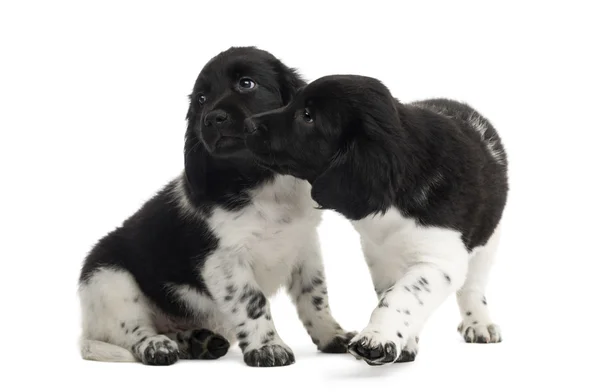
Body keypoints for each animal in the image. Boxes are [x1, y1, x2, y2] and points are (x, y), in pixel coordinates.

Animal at [78, 48, 352, 368]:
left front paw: (333, 336)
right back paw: (157, 346)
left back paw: (198, 342)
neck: (260, 182)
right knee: (132, 330)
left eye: (246, 83)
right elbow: (252, 300)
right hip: (109, 279)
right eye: (201, 99)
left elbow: (315, 295)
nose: (212, 119)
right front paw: (268, 347)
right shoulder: (224, 260)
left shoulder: (305, 244)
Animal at [246, 75, 508, 366]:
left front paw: (377, 338)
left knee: (473, 287)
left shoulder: (439, 261)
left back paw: (479, 323)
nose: (249, 123)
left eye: (307, 116)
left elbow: (404, 294)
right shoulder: (379, 255)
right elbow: (392, 294)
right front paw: (402, 342)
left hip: (488, 240)